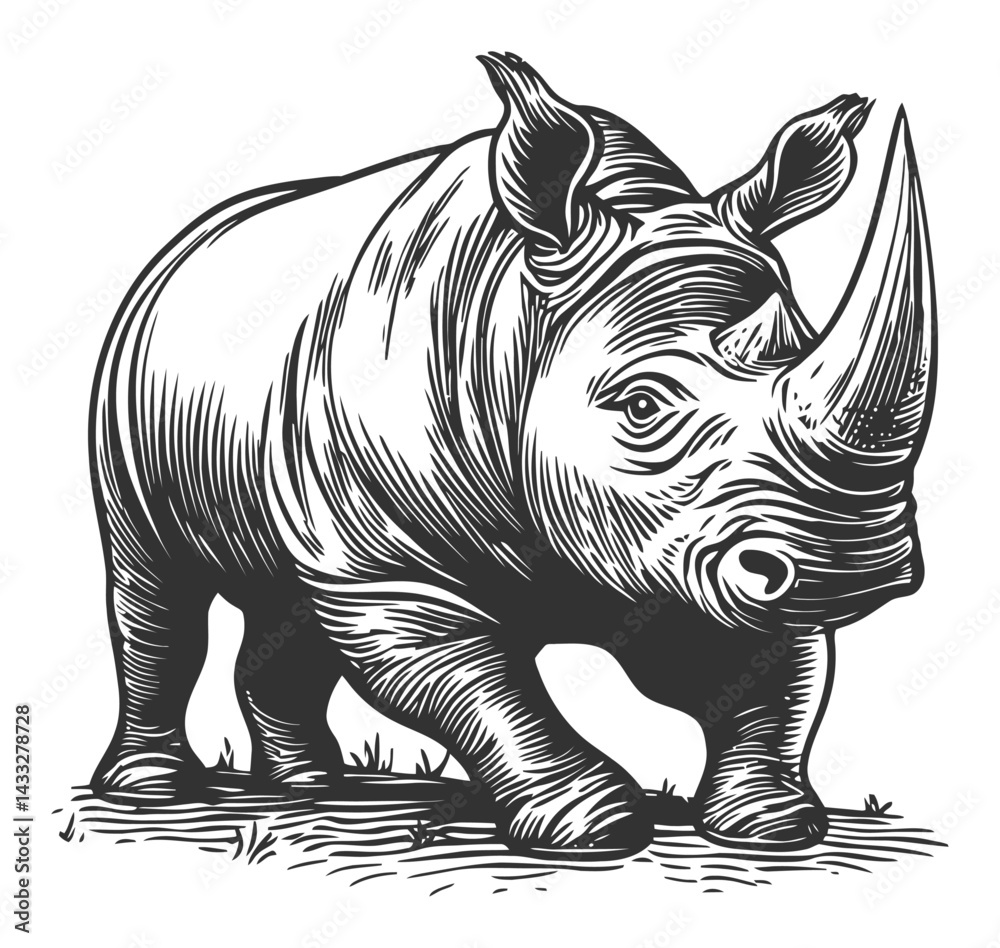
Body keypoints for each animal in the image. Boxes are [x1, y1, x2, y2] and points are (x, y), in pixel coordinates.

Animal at [89, 52, 935, 855]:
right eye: (643, 406)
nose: (852, 561)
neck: (521, 326)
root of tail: (184, 245)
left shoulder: (702, 537)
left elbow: (766, 669)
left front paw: (774, 825)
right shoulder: (393, 565)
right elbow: (476, 683)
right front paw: (593, 831)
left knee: (285, 601)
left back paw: (309, 786)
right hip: (125, 382)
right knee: (155, 587)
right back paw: (152, 791)